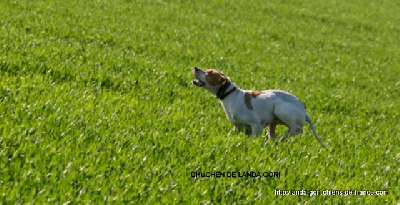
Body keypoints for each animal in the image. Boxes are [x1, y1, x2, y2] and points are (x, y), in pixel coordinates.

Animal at [192, 67, 326, 147]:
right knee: (280, 132)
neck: (230, 94)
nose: (195, 68)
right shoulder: (240, 128)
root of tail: (303, 110)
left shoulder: (256, 124)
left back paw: (280, 139)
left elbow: (253, 138)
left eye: (208, 72)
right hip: (274, 121)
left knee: (297, 129)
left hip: (280, 108)